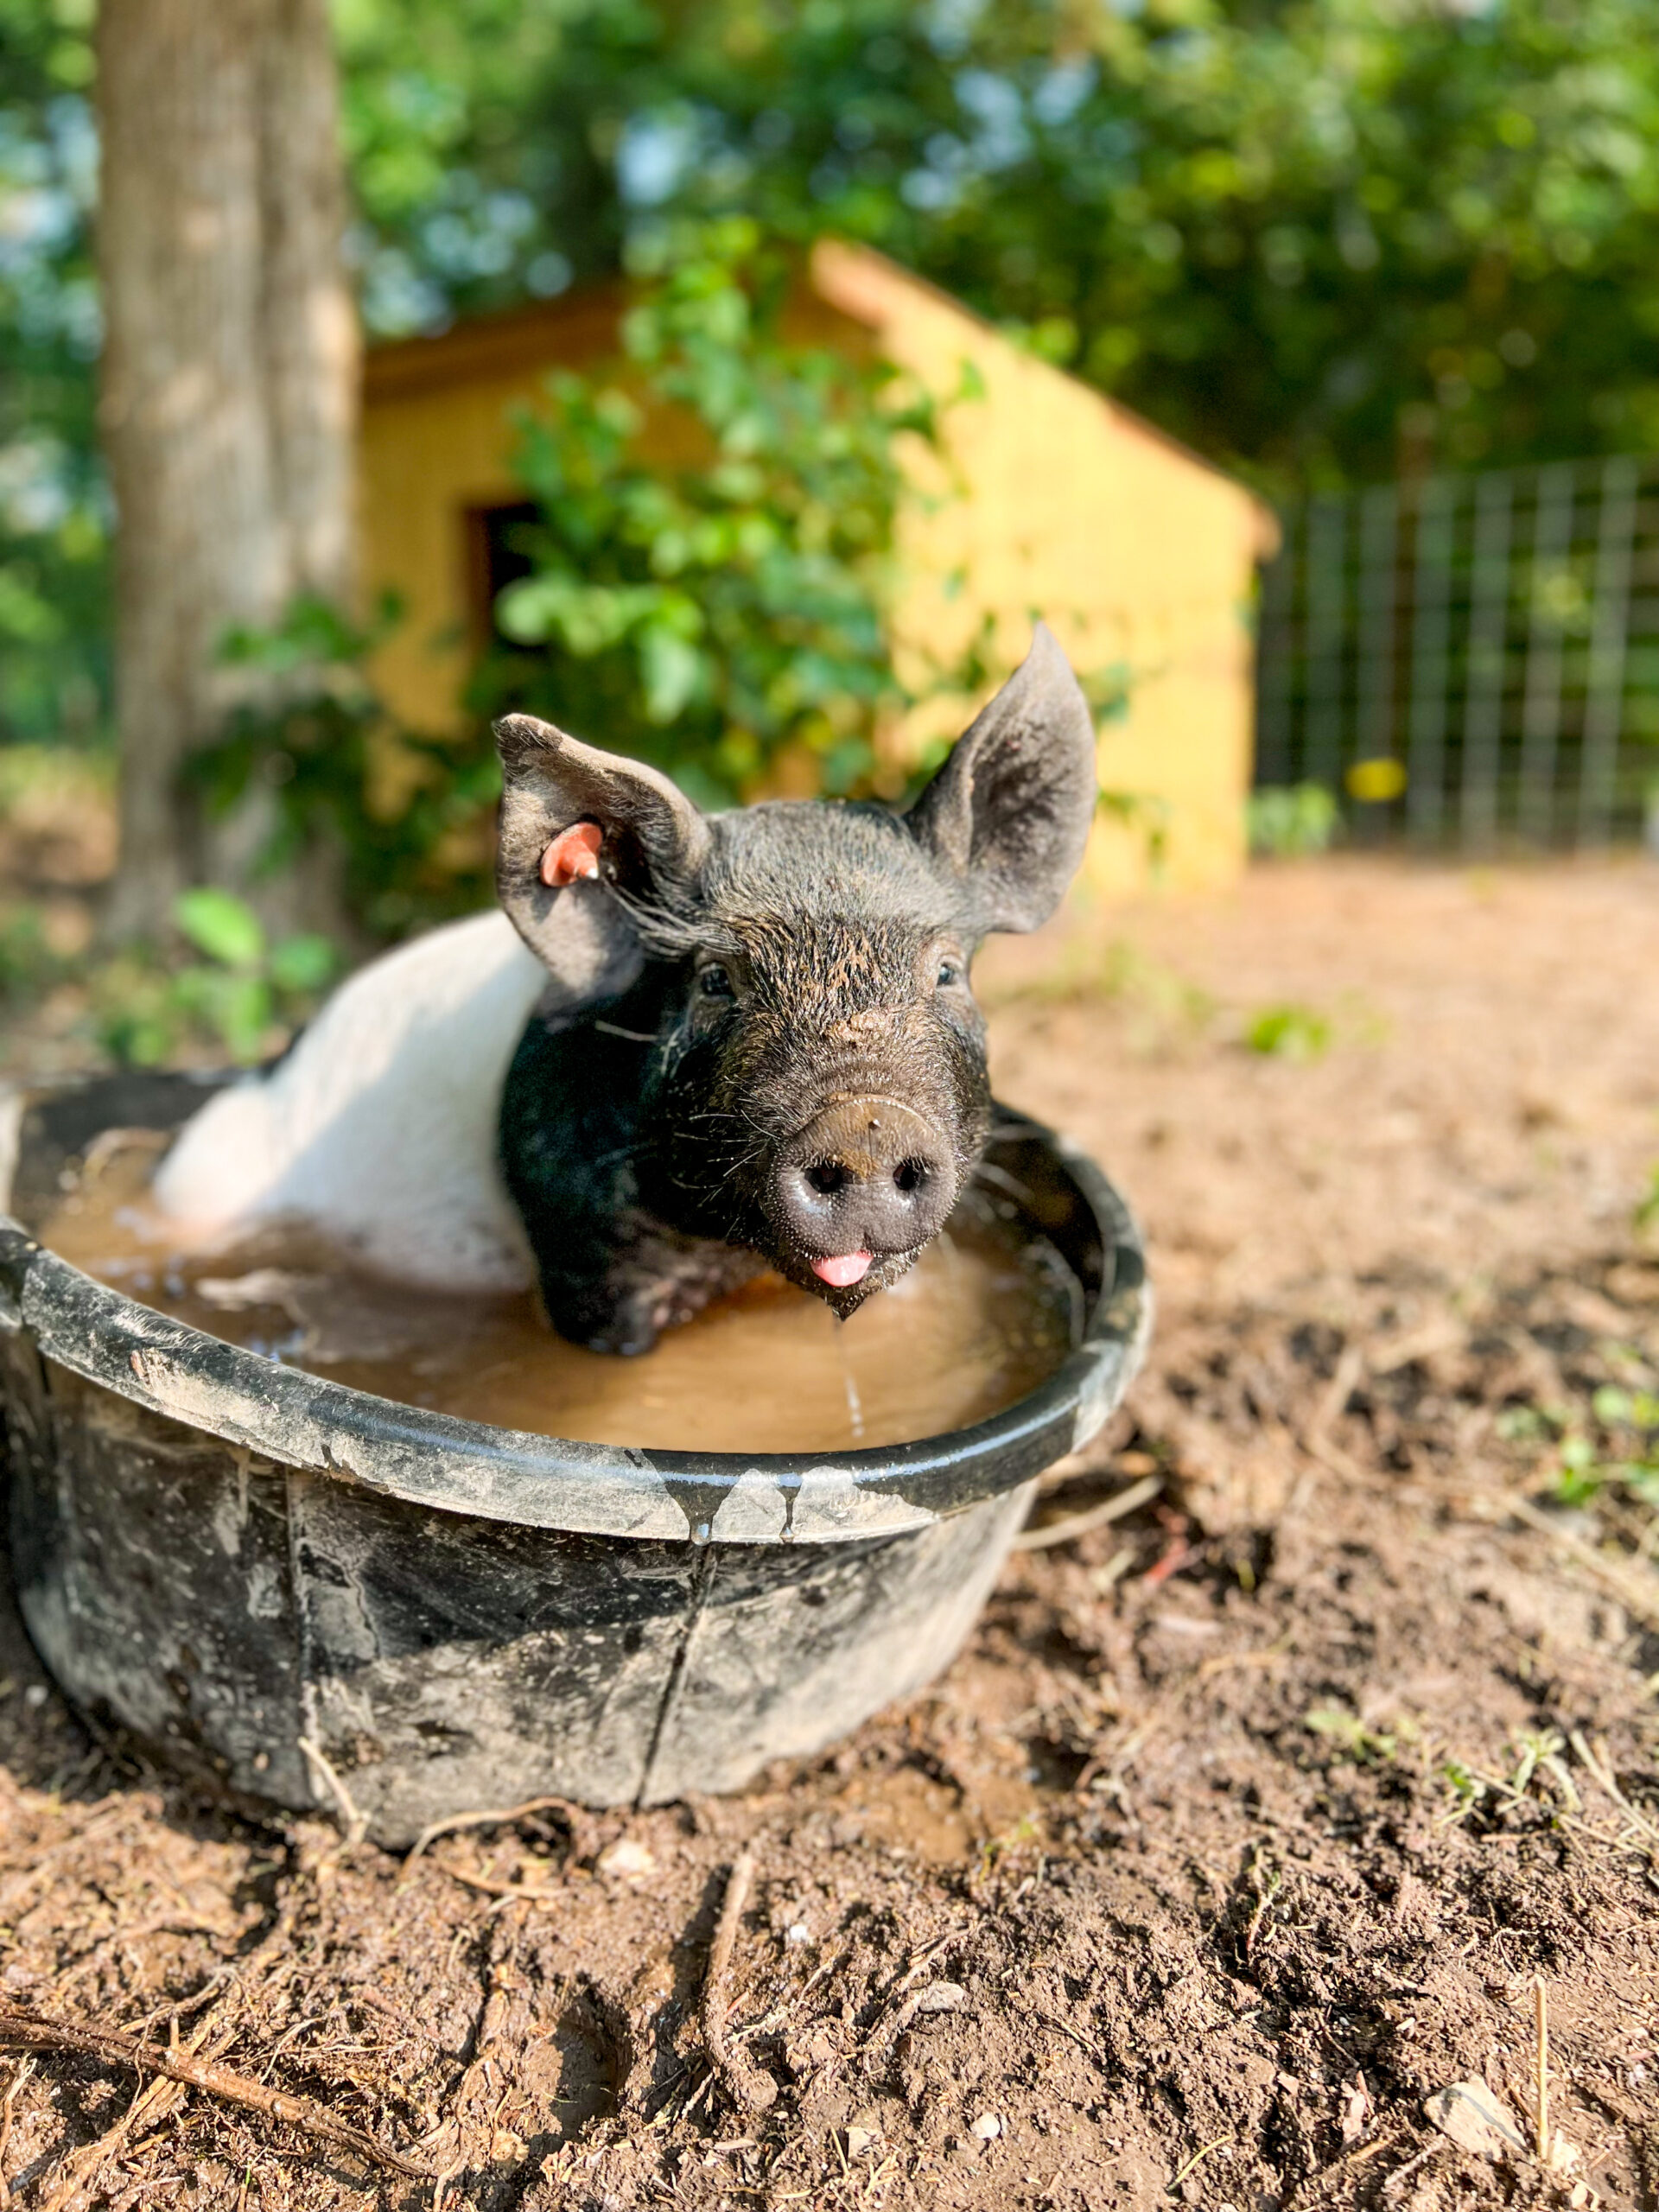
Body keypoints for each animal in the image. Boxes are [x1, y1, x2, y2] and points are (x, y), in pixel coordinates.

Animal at [153, 624, 1098, 1353]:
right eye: (715, 980)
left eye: (946, 971)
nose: (865, 1119)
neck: (733, 1261)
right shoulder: (586, 1258)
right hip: (207, 1173)